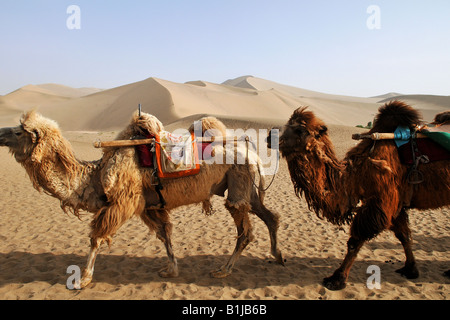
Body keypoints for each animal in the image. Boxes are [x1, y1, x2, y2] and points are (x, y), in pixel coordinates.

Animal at [0, 110, 282, 288]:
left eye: (19, 131)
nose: (1, 132)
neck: (96, 174)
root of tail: (254, 154)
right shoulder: (149, 206)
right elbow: (164, 234)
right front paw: (171, 270)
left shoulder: (122, 202)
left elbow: (97, 237)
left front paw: (83, 279)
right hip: (250, 190)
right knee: (270, 217)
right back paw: (277, 255)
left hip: (238, 184)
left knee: (245, 232)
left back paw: (224, 269)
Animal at [268, 102, 448, 290]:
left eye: (299, 129)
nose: (269, 137)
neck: (359, 170)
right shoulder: (396, 203)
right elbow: (404, 235)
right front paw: (410, 269)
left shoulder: (382, 201)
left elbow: (356, 240)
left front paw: (336, 279)